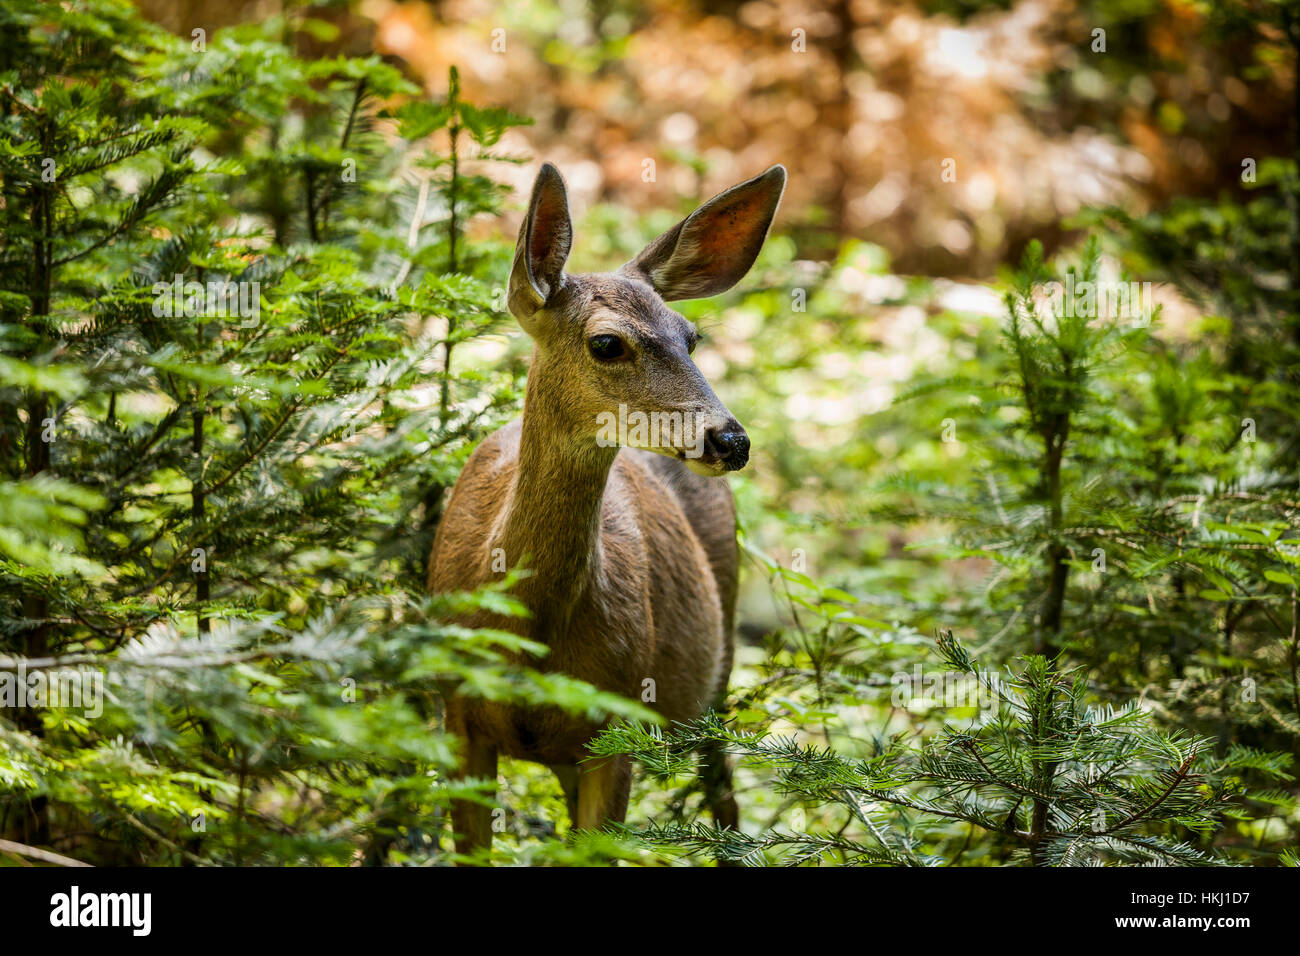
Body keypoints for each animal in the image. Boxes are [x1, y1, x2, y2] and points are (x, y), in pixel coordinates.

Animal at [431, 158, 785, 858]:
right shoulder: (459, 717)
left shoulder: (618, 722)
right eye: (606, 344)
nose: (730, 440)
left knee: (725, 798)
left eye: (691, 338)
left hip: (716, 670)